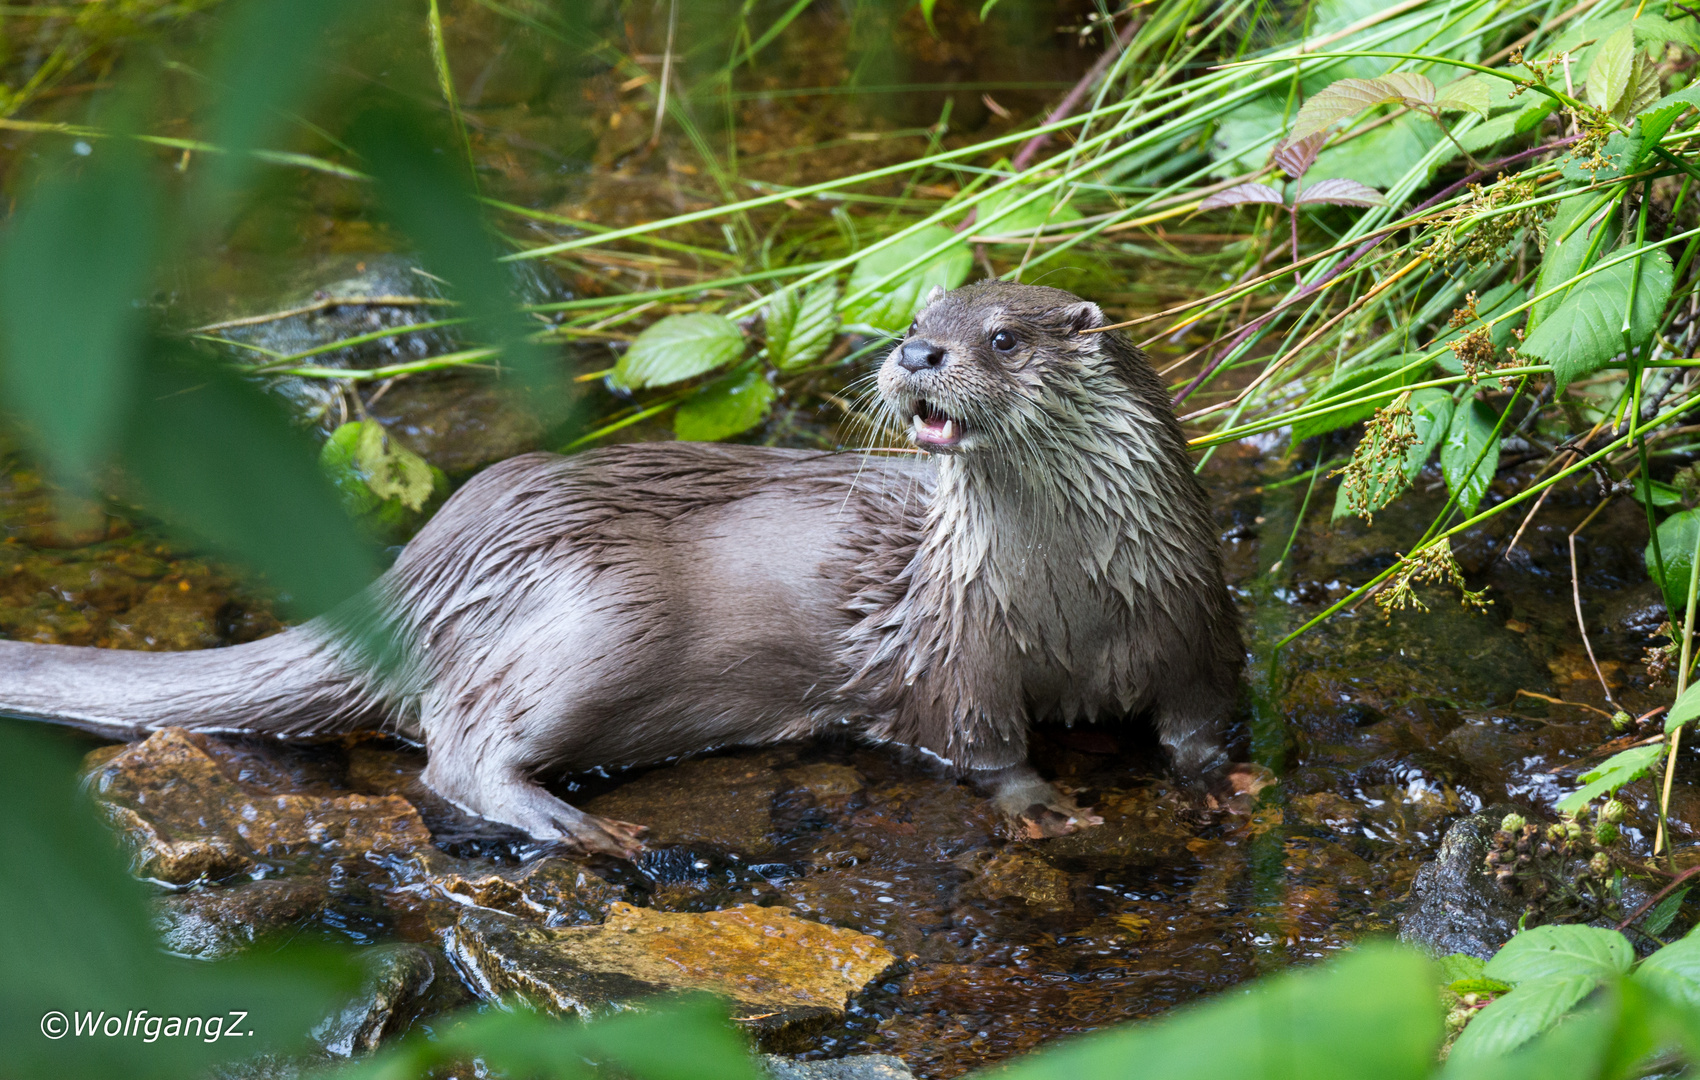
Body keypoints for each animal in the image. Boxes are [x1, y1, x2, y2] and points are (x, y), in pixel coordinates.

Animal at [3, 282, 1251, 857]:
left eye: (1001, 335)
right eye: (919, 309)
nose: (915, 351)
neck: (1072, 602)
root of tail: (426, 567)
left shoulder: (1192, 622)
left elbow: (1199, 724)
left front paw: (1222, 784)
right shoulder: (961, 649)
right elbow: (981, 747)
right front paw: (1041, 805)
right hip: (603, 606)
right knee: (457, 749)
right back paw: (579, 829)